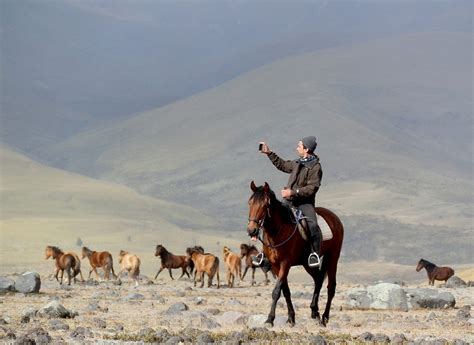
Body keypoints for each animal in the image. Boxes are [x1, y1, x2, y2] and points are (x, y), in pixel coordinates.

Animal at [246, 180, 342, 326]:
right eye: (250, 203)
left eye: (265, 205)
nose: (252, 230)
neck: (278, 231)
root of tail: (335, 219)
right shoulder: (275, 265)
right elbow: (285, 291)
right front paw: (291, 317)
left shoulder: (285, 263)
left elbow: (276, 291)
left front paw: (270, 319)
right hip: (307, 264)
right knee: (318, 279)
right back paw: (315, 312)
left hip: (333, 258)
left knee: (331, 287)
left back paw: (324, 318)